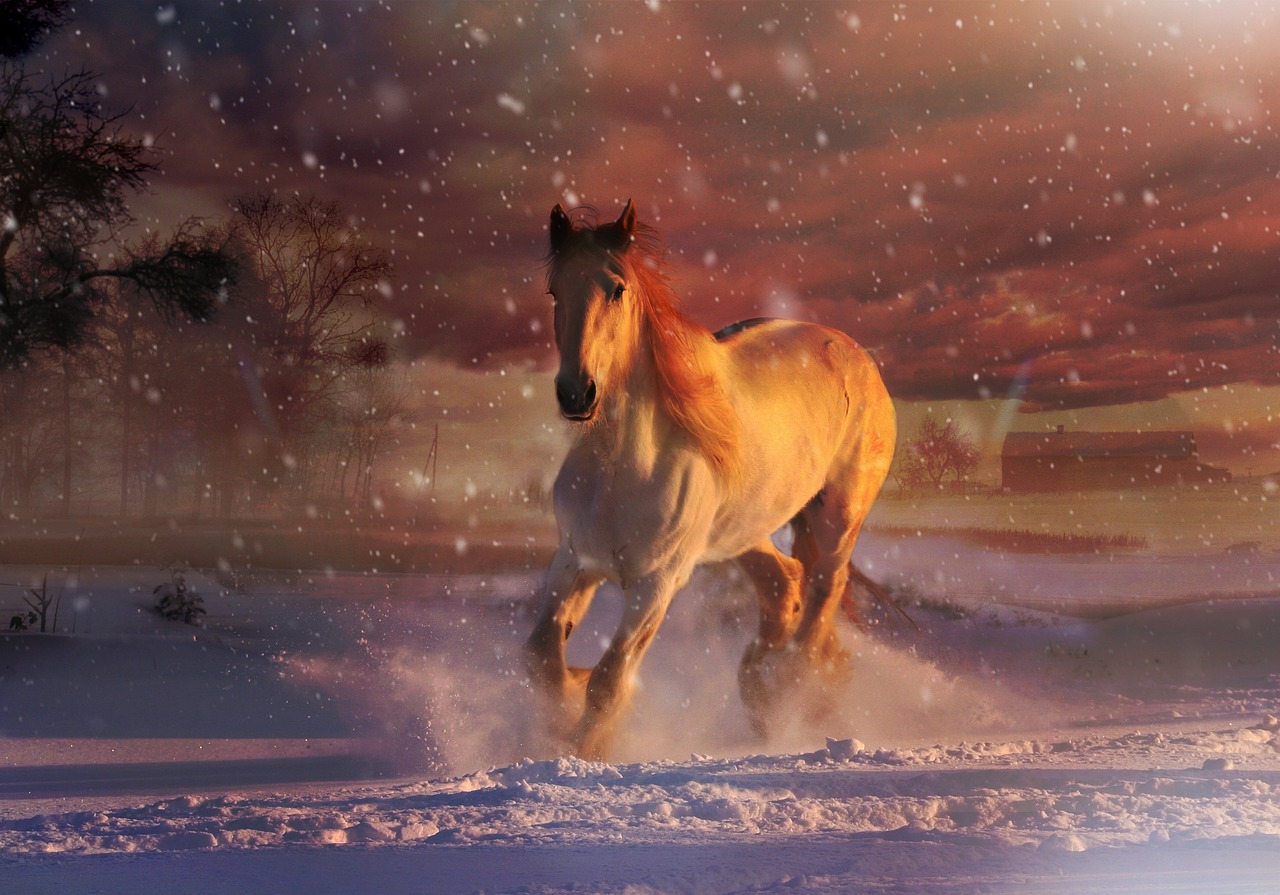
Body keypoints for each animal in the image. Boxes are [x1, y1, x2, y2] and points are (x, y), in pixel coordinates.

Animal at [523, 200, 896, 759]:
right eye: (554, 291)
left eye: (617, 288)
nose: (576, 393)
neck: (621, 471)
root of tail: (857, 356)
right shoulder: (573, 560)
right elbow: (542, 660)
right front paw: (565, 706)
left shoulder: (657, 583)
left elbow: (609, 682)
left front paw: (583, 752)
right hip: (743, 530)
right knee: (785, 582)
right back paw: (759, 691)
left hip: (839, 517)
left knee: (822, 596)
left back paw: (790, 697)